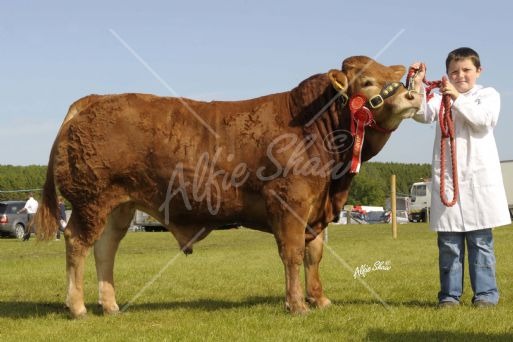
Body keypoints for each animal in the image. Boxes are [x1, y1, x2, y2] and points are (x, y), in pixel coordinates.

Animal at [35, 56, 420, 318]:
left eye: (394, 76)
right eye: (367, 81)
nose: (412, 97)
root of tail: (94, 100)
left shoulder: (316, 208)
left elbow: (314, 254)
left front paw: (320, 299)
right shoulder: (290, 203)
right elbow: (293, 254)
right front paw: (297, 305)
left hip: (119, 205)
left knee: (105, 249)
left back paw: (111, 305)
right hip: (92, 199)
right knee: (77, 242)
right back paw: (77, 307)